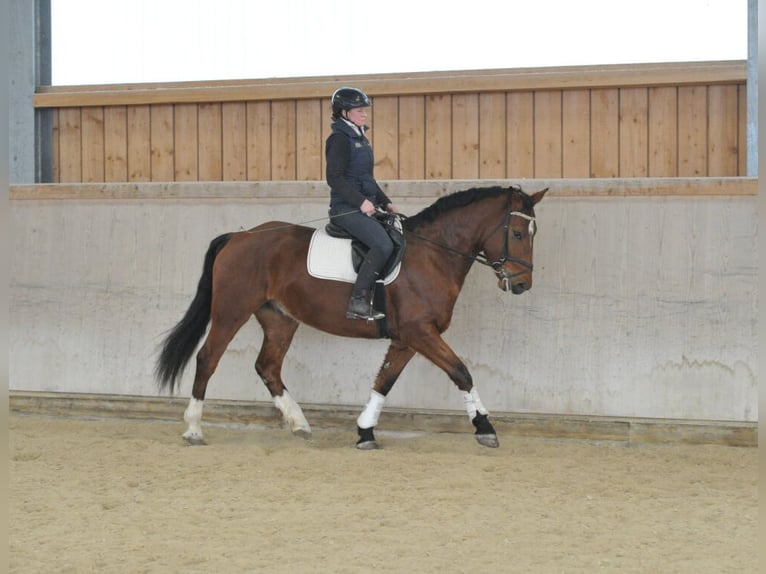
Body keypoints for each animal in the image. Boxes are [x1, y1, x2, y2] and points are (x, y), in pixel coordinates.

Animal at [155, 185, 547, 449]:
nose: (522, 284)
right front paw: (485, 428)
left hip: (279, 319)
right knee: (208, 358)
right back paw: (193, 429)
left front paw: (365, 431)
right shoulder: (421, 332)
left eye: (533, 233)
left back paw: (299, 423)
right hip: (231, 310)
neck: (433, 255)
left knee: (268, 367)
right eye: (516, 232)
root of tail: (239, 237)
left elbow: (384, 382)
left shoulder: (407, 338)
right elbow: (461, 372)